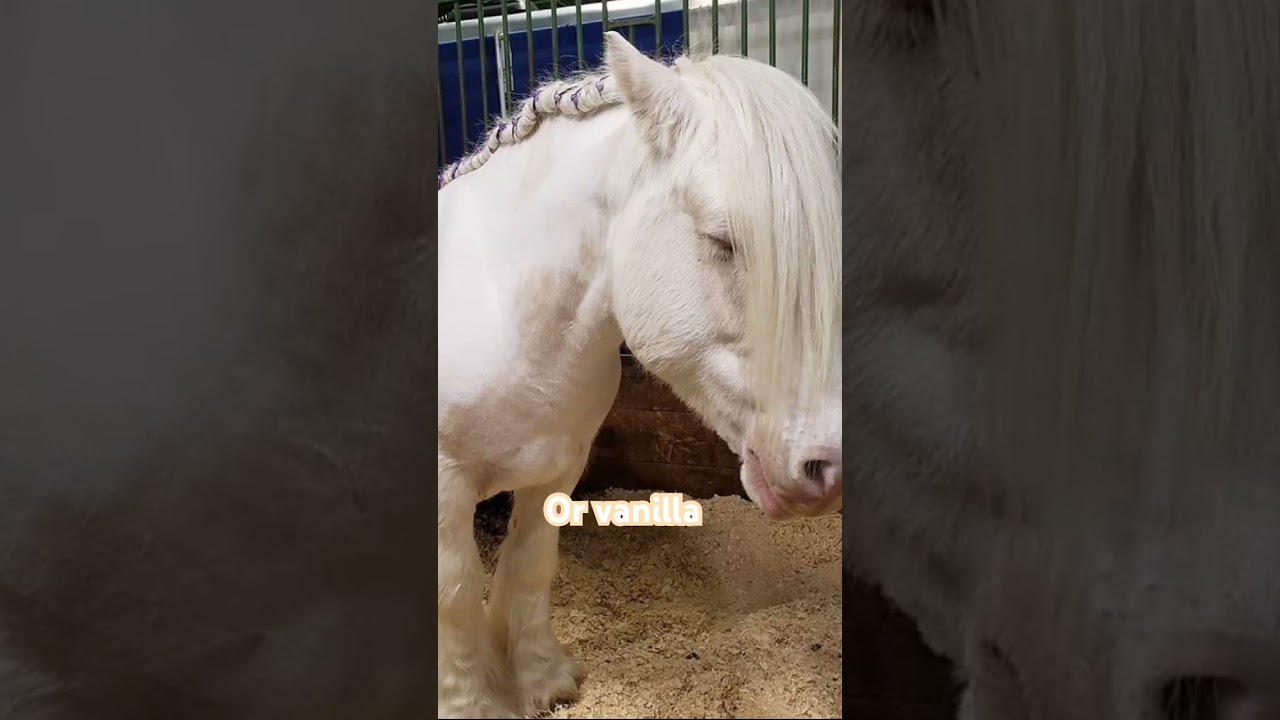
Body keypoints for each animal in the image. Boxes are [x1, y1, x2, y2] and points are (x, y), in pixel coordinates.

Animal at [437, 32, 842, 719]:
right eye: (721, 239)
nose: (825, 467)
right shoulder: (444, 489)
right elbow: (457, 593)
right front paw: (473, 704)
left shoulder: (559, 467)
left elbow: (529, 563)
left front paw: (542, 680)